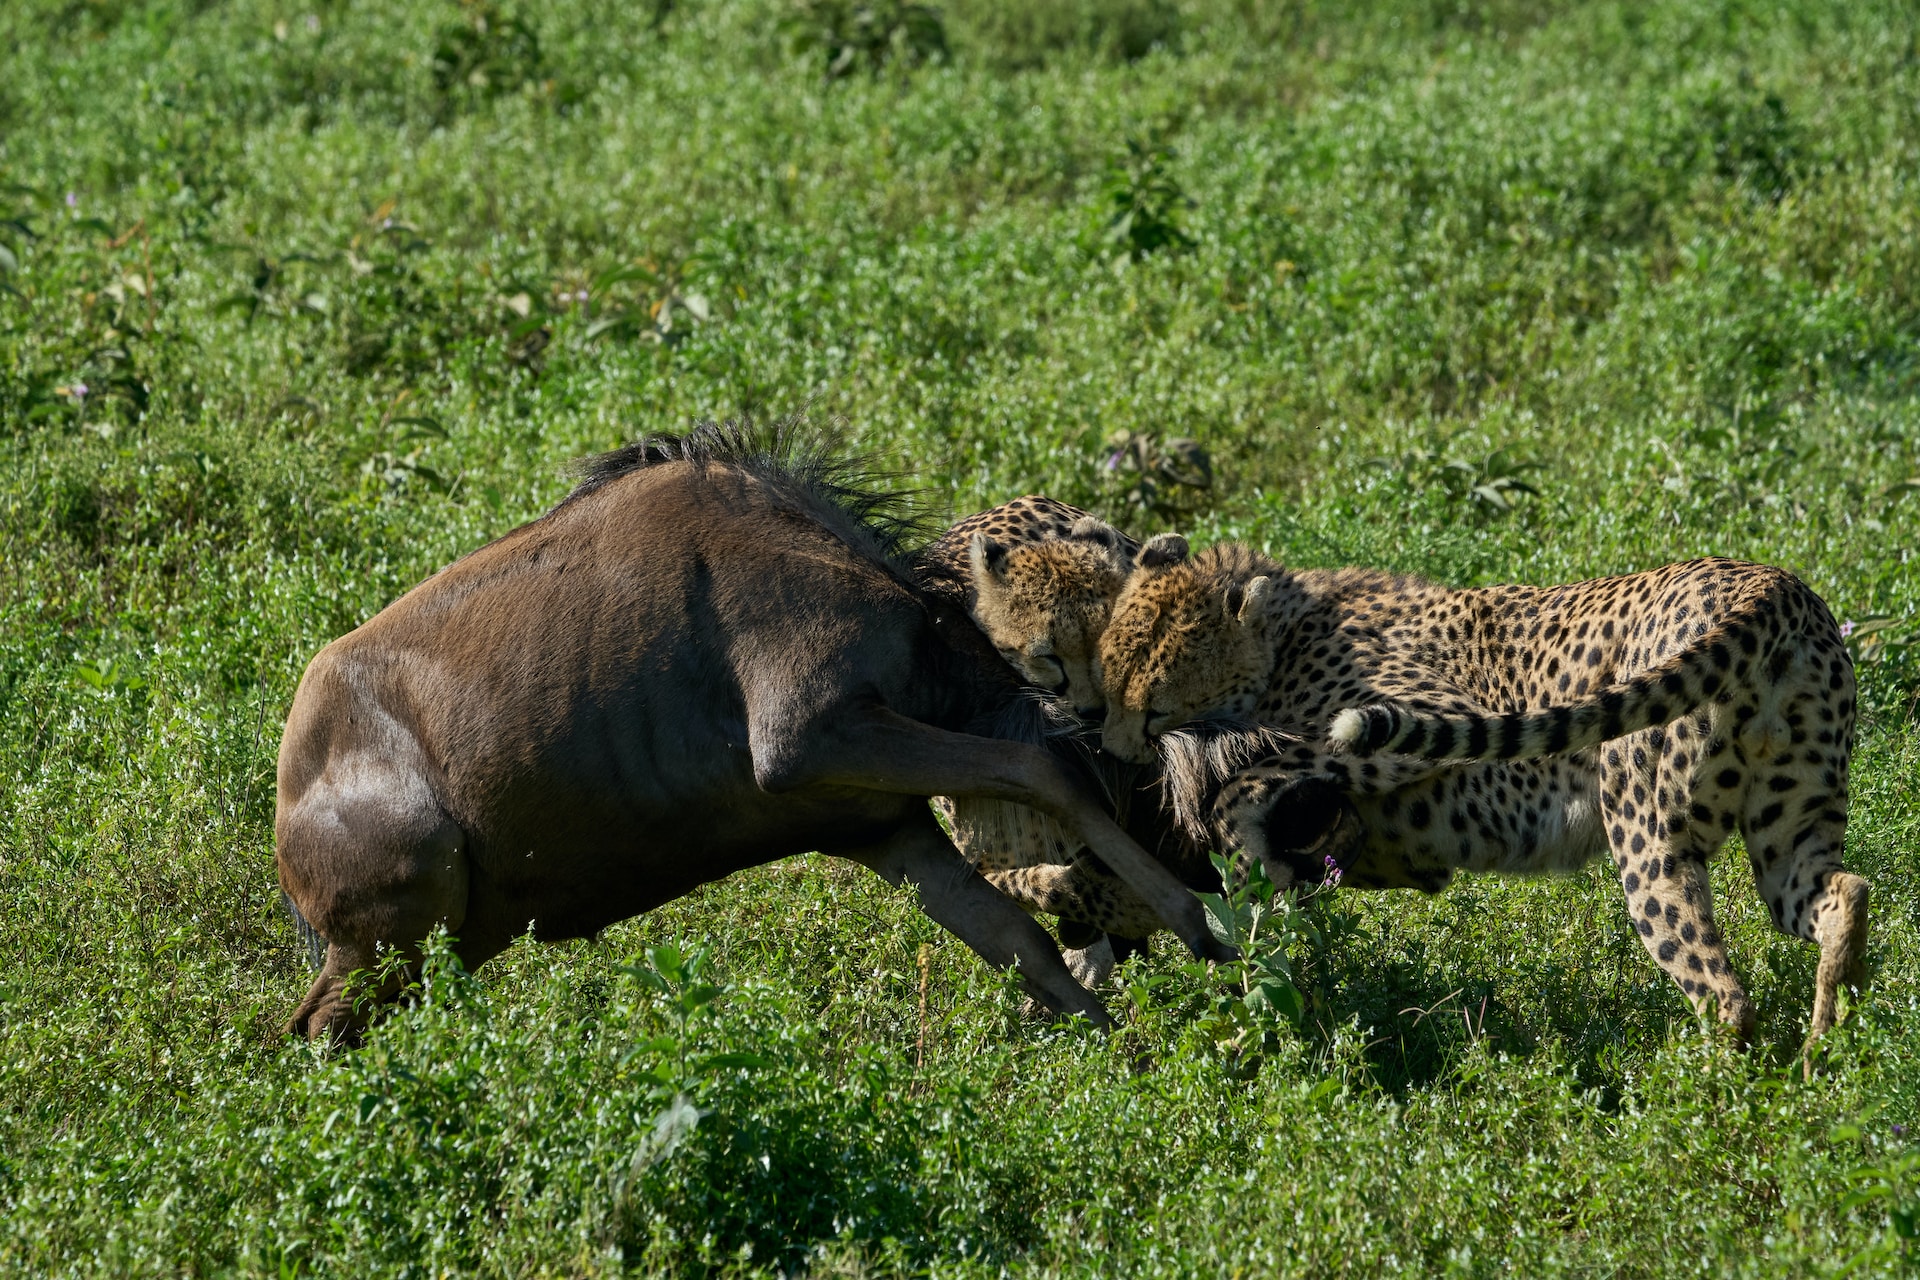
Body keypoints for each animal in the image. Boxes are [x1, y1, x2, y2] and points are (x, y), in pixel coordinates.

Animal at [1098, 545, 1873, 1051]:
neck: (1286, 631)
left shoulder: (1421, 715)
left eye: (1154, 704)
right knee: (1843, 893)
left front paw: (1242, 852)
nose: (1108, 747)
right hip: (1790, 829)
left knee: (1722, 994)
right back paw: (1830, 1053)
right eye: (1108, 680)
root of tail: (1768, 582)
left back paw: (1700, 1107)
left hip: (1649, 840)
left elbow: (1252, 776)